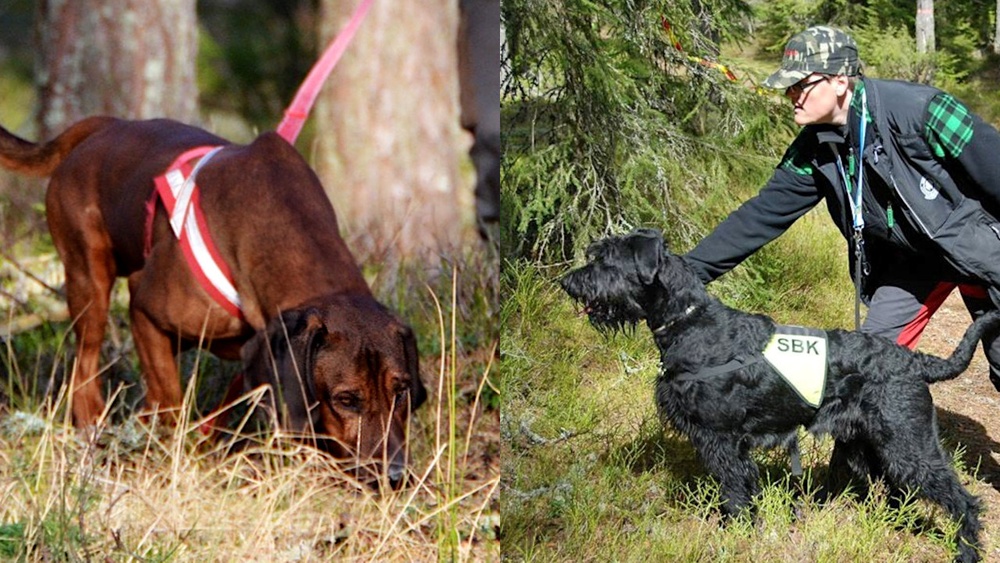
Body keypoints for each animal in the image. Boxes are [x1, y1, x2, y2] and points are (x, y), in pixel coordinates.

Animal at [0, 117, 426, 482]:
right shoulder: (145, 314)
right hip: (88, 278)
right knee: (85, 367)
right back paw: (93, 431)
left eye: (402, 390)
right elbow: (169, 401)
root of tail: (106, 126)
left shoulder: (258, 350)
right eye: (347, 399)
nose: (395, 477)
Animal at [564, 227, 1000, 560]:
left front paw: (735, 533)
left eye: (606, 260)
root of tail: (915, 362)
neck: (691, 323)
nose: (567, 282)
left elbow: (734, 490)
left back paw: (967, 551)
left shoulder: (721, 440)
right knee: (898, 488)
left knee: (962, 499)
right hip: (872, 443)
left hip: (909, 441)